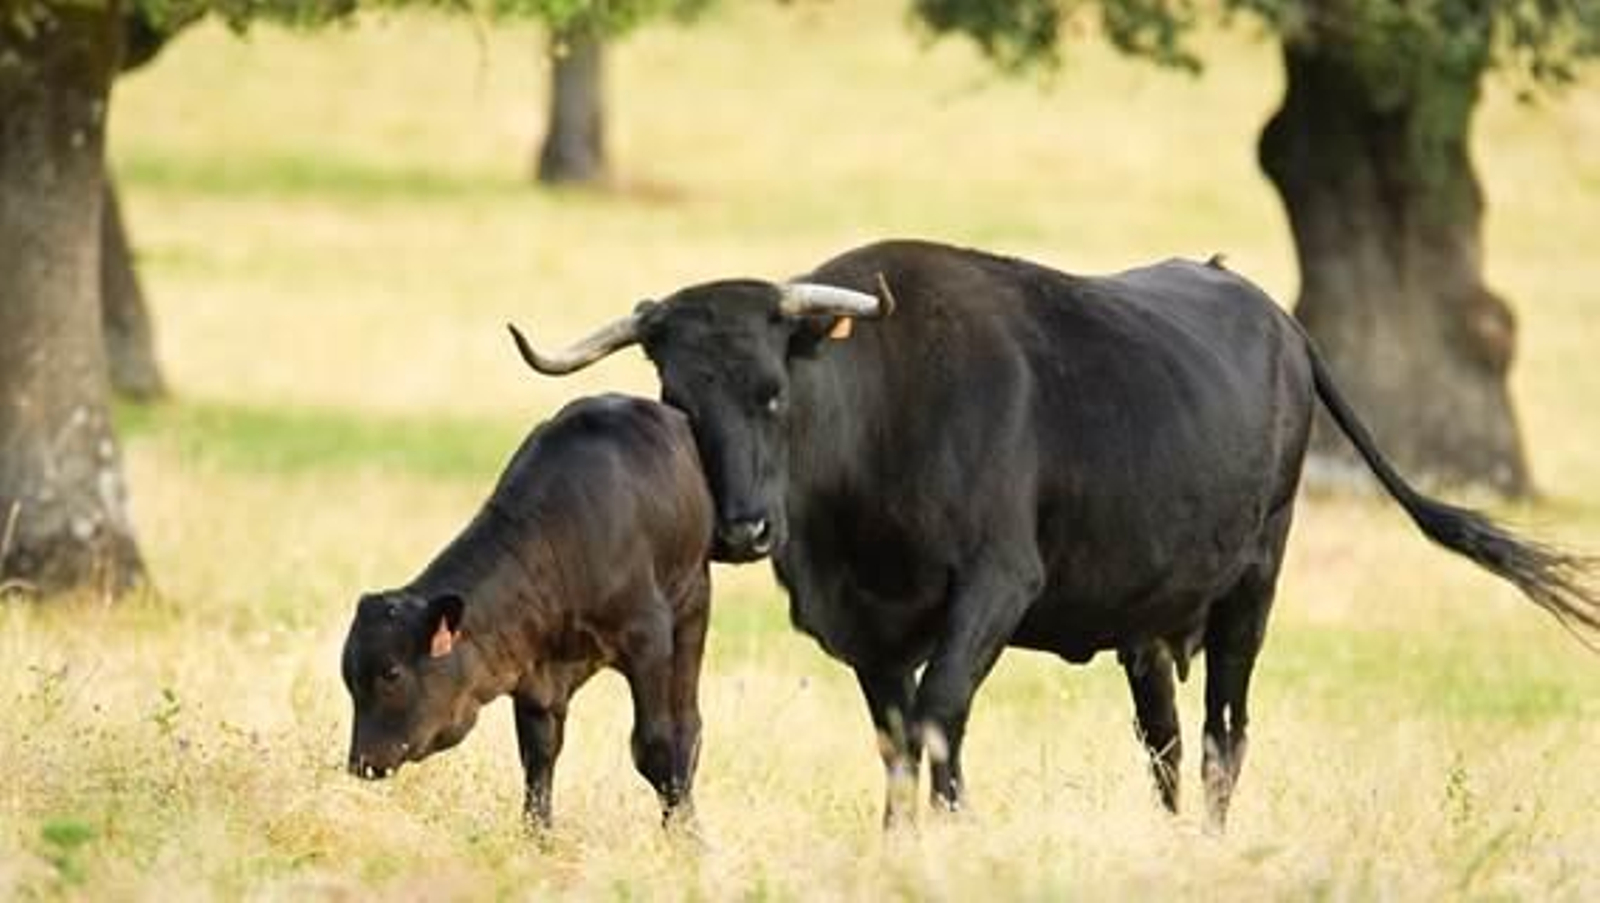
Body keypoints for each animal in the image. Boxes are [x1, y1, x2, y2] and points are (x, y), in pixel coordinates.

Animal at [341, 394, 714, 830]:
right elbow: (539, 755)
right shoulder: (534, 675)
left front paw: (686, 835)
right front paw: (537, 832)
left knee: (687, 725)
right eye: (350, 680)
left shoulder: (648, 640)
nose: (360, 762)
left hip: (692, 602)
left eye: (392, 673)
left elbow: (656, 746)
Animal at [507, 239, 1598, 830]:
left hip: (1254, 583)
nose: (742, 529)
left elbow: (939, 716)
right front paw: (900, 842)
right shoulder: (863, 628)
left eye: (774, 391)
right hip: (1147, 619)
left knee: (1223, 733)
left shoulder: (994, 588)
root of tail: (1277, 319)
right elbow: (897, 736)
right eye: (677, 399)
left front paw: (956, 832)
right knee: (1163, 737)